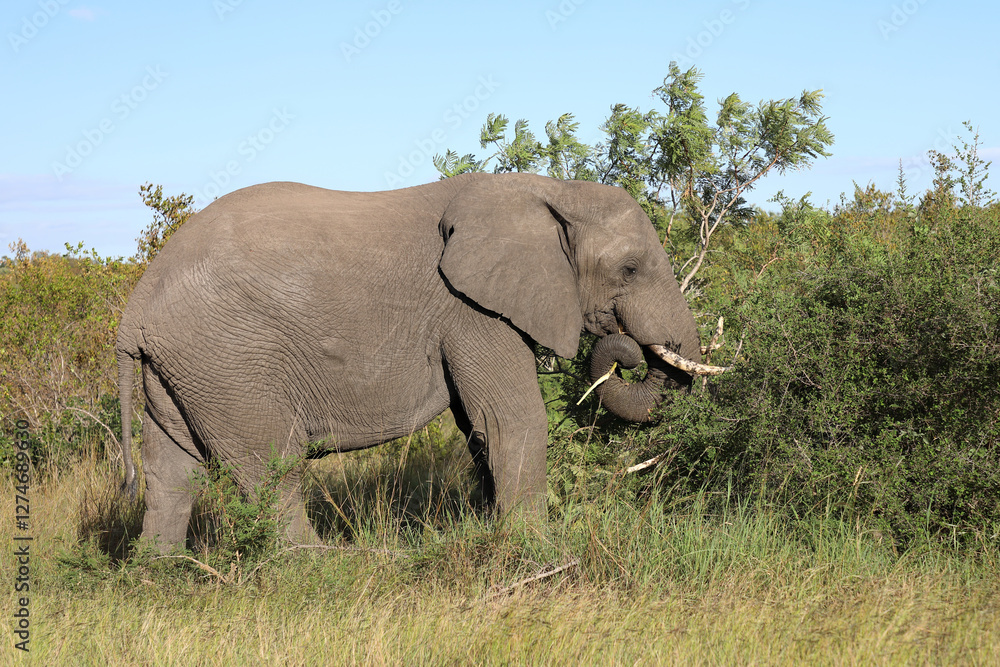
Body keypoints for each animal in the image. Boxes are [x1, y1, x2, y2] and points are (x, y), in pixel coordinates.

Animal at [116, 172, 726, 551]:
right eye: (629, 269)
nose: (625, 355)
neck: (547, 190)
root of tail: (135, 307)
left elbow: (479, 429)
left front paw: (494, 528)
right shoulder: (470, 309)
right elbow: (511, 419)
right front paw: (535, 547)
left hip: (183, 368)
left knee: (171, 470)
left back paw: (158, 572)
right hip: (228, 358)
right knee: (269, 463)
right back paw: (324, 564)